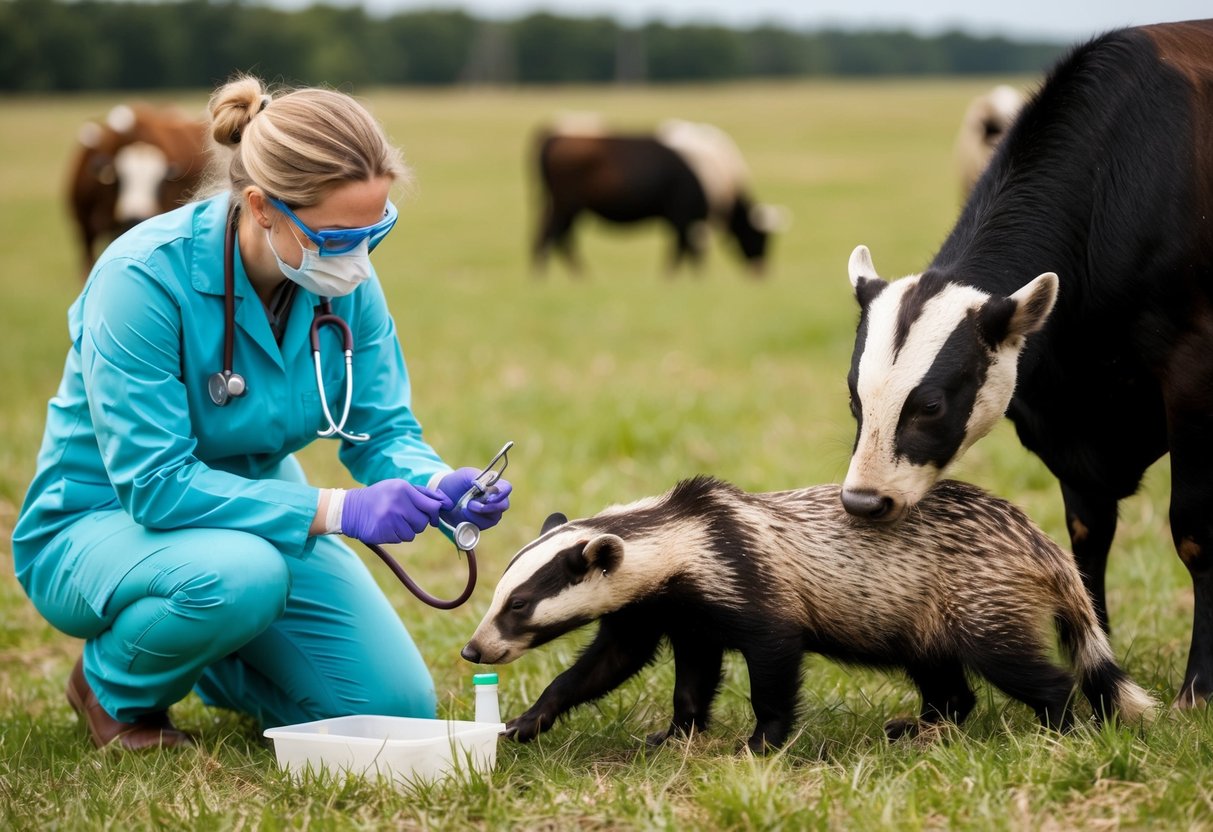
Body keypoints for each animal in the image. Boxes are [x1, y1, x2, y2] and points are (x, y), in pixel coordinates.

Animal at [532, 116, 786, 275]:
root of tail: (553, 137)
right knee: (552, 237)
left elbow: (681, 250)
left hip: (560, 205)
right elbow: (686, 251)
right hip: (566, 205)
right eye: (762, 237)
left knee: (555, 238)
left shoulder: (680, 218)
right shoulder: (686, 215)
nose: (761, 271)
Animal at [840, 20, 1213, 707]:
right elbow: (1086, 541)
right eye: (855, 399)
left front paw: (1200, 686)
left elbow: (1195, 532)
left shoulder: (1193, 379)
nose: (862, 501)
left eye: (931, 404)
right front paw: (1098, 676)